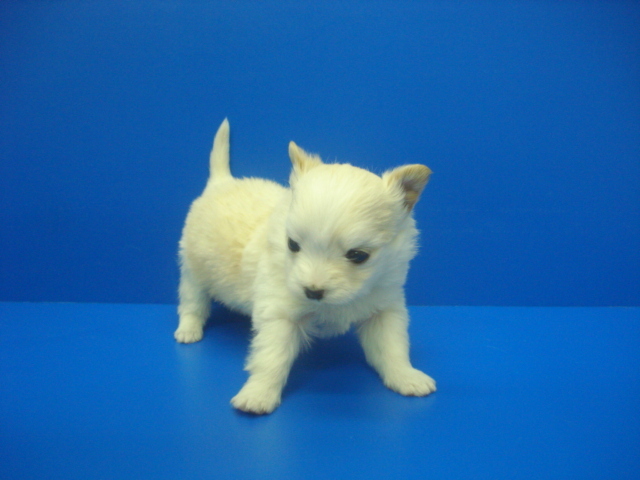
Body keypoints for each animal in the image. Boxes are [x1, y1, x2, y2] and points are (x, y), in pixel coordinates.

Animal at [175, 119, 436, 414]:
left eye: (358, 256)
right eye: (292, 245)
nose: (312, 291)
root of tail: (222, 182)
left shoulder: (385, 309)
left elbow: (392, 348)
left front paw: (407, 377)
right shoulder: (279, 314)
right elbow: (272, 358)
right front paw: (258, 394)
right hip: (192, 269)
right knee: (192, 303)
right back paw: (188, 329)